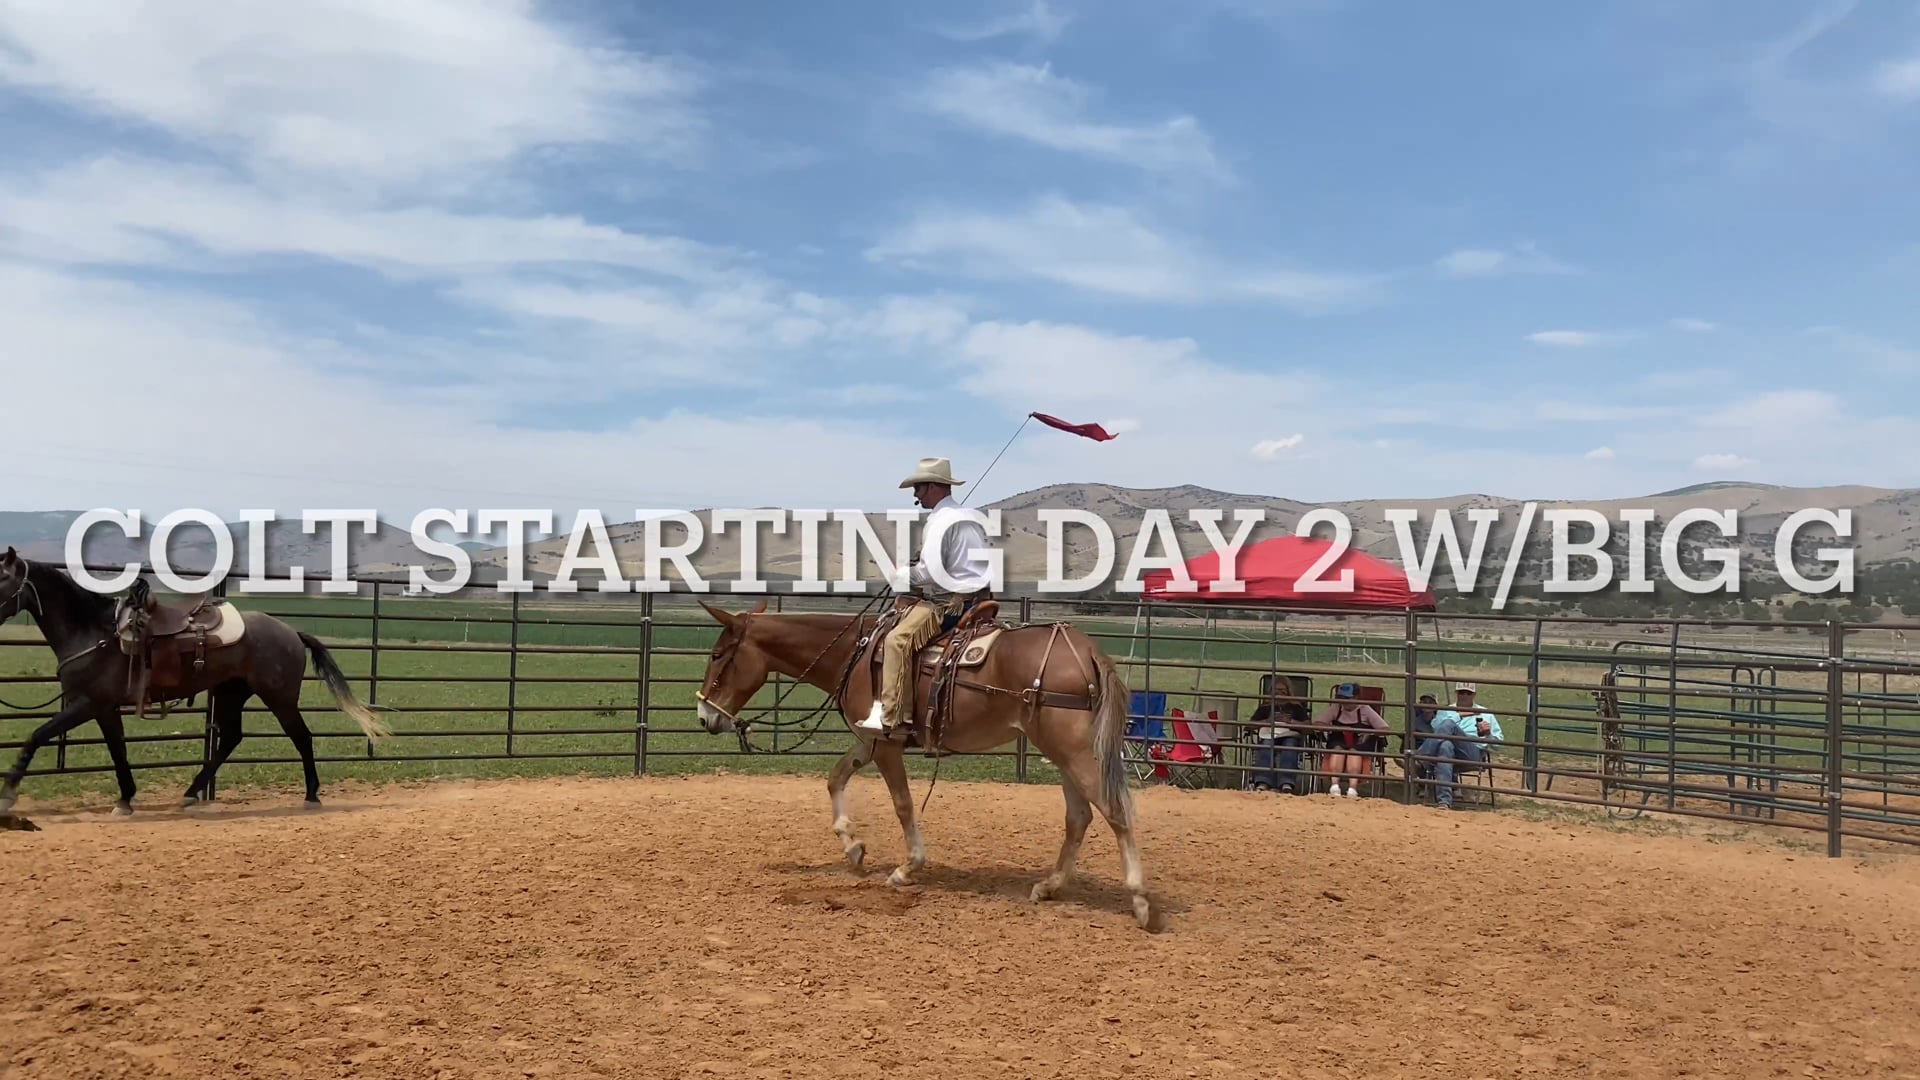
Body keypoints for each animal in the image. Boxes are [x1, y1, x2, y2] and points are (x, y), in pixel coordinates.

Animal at [0, 546, 390, 816]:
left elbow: (37, 735)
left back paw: (311, 796)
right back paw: (191, 792)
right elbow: (118, 751)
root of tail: (291, 632)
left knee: (302, 737)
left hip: (279, 698)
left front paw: (8, 794)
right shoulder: (104, 709)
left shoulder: (88, 704)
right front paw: (125, 799)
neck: (94, 632)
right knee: (231, 737)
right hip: (232, 693)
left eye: (2, 578)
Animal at [691, 596, 1154, 930]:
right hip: (1062, 753)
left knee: (1114, 811)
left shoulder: (887, 745)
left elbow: (903, 804)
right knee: (1079, 817)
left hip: (1074, 750)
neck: (856, 653)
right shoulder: (871, 740)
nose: (705, 716)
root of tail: (1088, 650)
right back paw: (1049, 886)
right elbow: (835, 779)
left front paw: (906, 868)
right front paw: (853, 847)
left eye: (717, 655)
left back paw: (1140, 900)